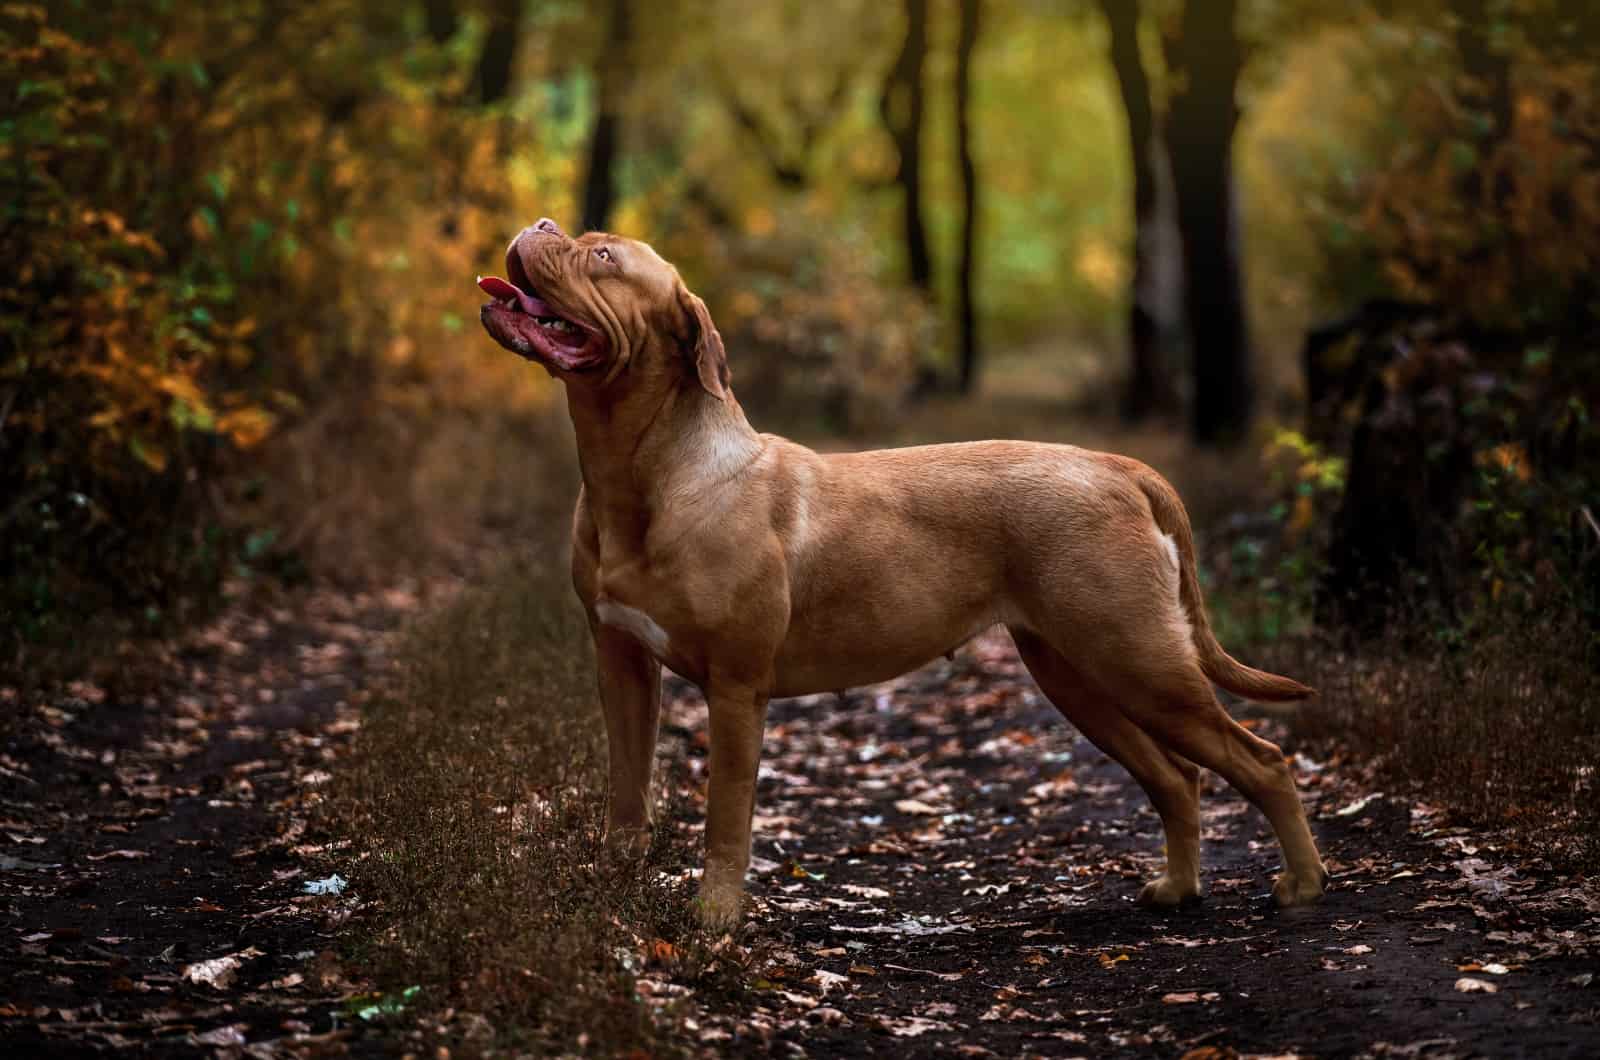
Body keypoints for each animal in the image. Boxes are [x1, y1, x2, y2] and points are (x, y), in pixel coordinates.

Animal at [480, 217, 1331, 928]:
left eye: (602, 257)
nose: (543, 223)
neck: (642, 474)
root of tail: (1118, 467)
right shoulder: (622, 664)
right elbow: (627, 792)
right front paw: (614, 888)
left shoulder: (735, 687)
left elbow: (726, 815)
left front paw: (715, 916)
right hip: (1080, 674)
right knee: (1177, 778)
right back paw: (1179, 888)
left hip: (1141, 660)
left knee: (1262, 761)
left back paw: (1302, 885)